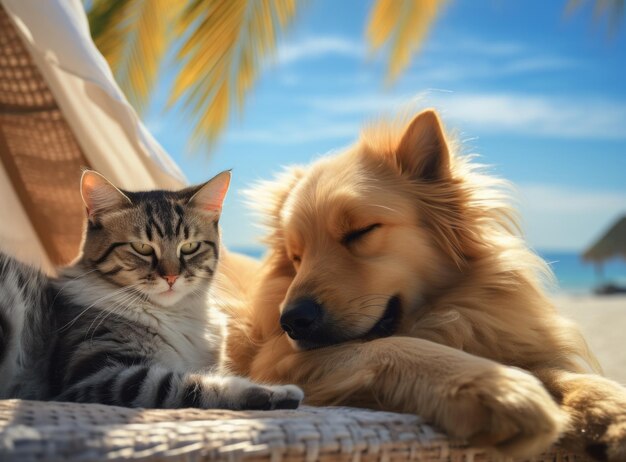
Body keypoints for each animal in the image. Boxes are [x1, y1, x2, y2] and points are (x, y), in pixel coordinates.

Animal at [0, 171, 302, 410]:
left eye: (189, 247)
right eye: (142, 248)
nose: (171, 276)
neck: (177, 316)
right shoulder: (98, 375)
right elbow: (186, 385)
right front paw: (278, 392)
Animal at [224, 108, 624, 458]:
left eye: (360, 231)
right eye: (297, 256)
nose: (291, 321)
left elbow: (556, 372)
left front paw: (609, 407)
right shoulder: (278, 360)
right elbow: (393, 346)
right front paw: (492, 385)